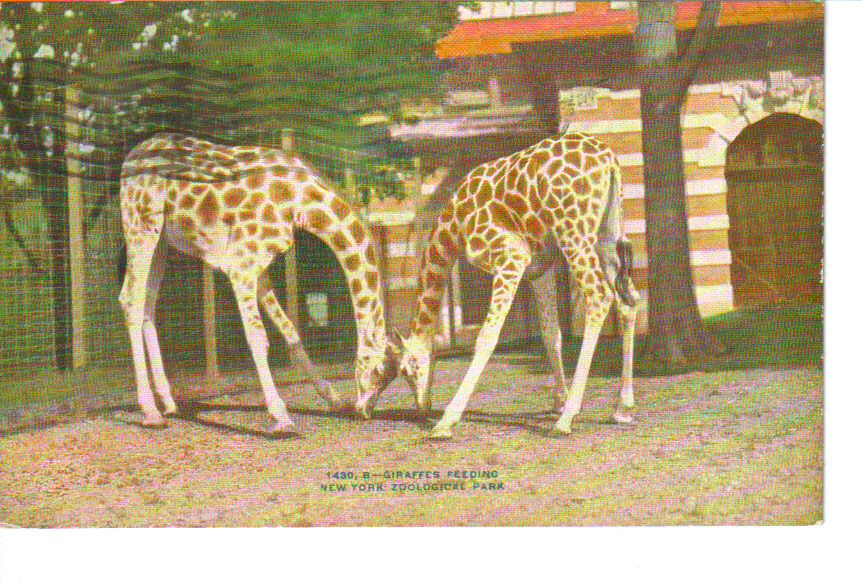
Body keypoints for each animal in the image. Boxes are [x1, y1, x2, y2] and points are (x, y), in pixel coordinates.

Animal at [118, 132, 397, 435]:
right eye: (379, 371)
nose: (365, 411)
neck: (299, 201)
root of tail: (129, 158)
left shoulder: (259, 263)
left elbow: (291, 330)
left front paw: (333, 398)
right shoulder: (241, 265)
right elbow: (259, 337)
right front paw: (281, 417)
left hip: (163, 240)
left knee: (147, 304)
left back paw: (168, 403)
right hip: (140, 224)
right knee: (130, 299)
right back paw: (150, 411)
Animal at [368, 131, 639, 439]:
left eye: (405, 370)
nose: (420, 407)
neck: (453, 227)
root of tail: (608, 158)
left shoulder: (510, 257)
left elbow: (487, 336)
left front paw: (446, 420)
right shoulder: (539, 269)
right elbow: (551, 334)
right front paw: (558, 401)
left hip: (574, 231)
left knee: (600, 295)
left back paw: (567, 419)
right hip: (608, 231)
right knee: (628, 300)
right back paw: (622, 408)